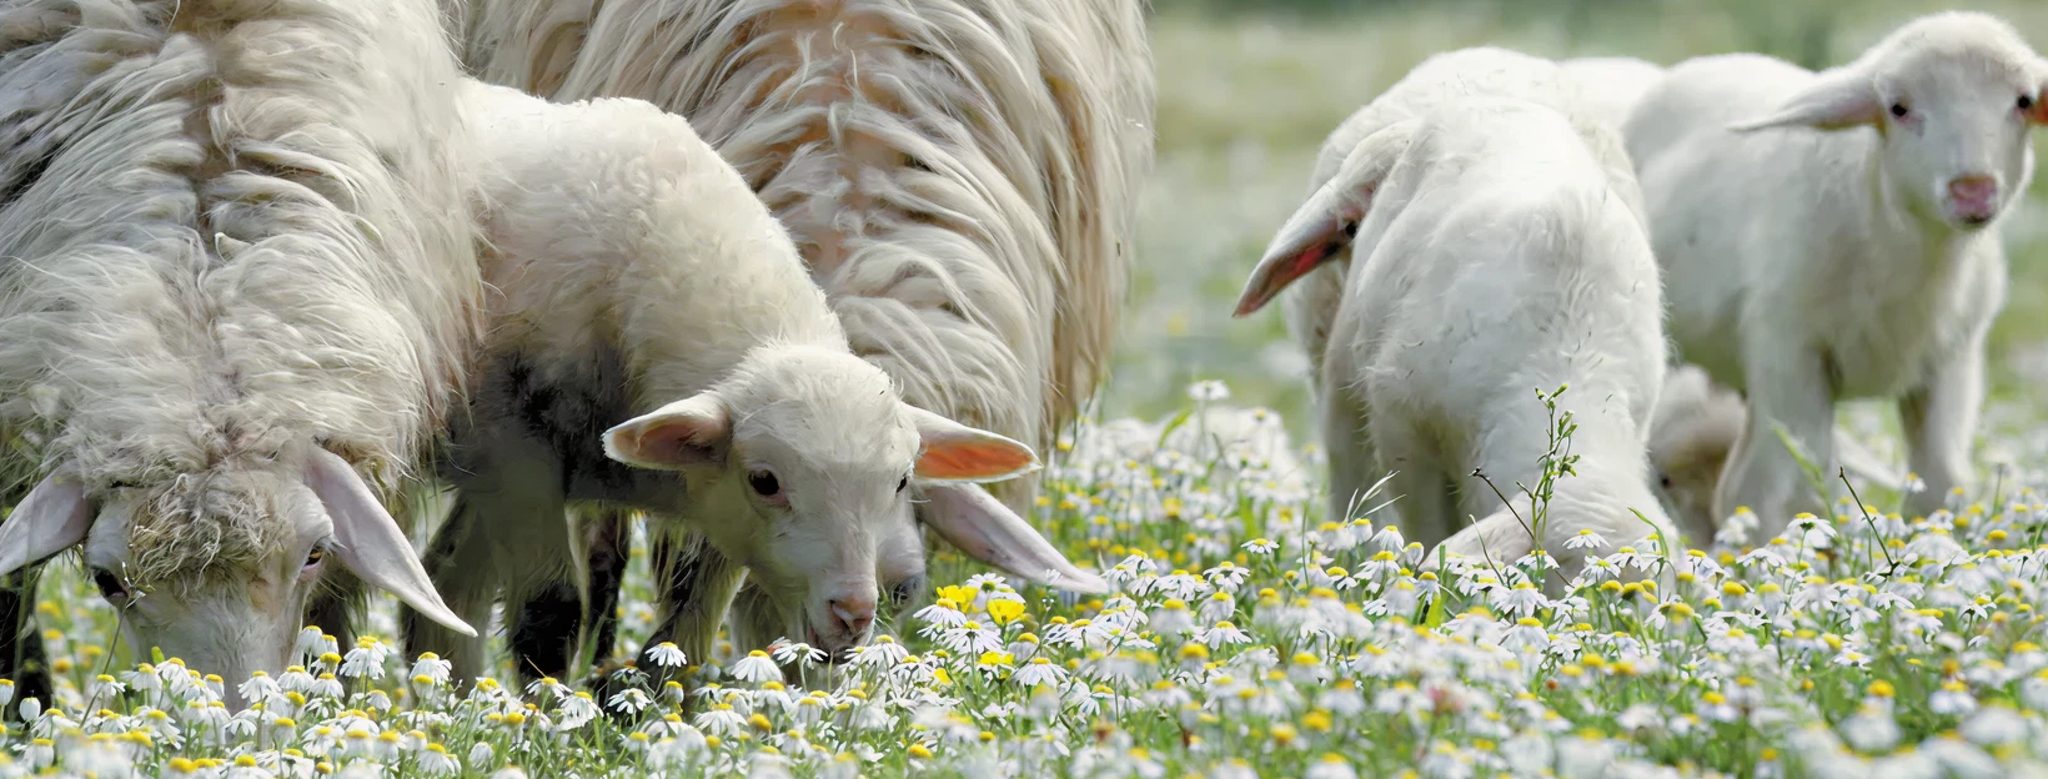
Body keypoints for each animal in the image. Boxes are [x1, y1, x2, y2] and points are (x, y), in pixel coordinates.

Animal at [1622, 12, 2047, 538]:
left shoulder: (1951, 361)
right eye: (1898, 107)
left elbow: (1942, 484)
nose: (1973, 190)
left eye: (2023, 101)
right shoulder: (1790, 356)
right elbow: (1783, 488)